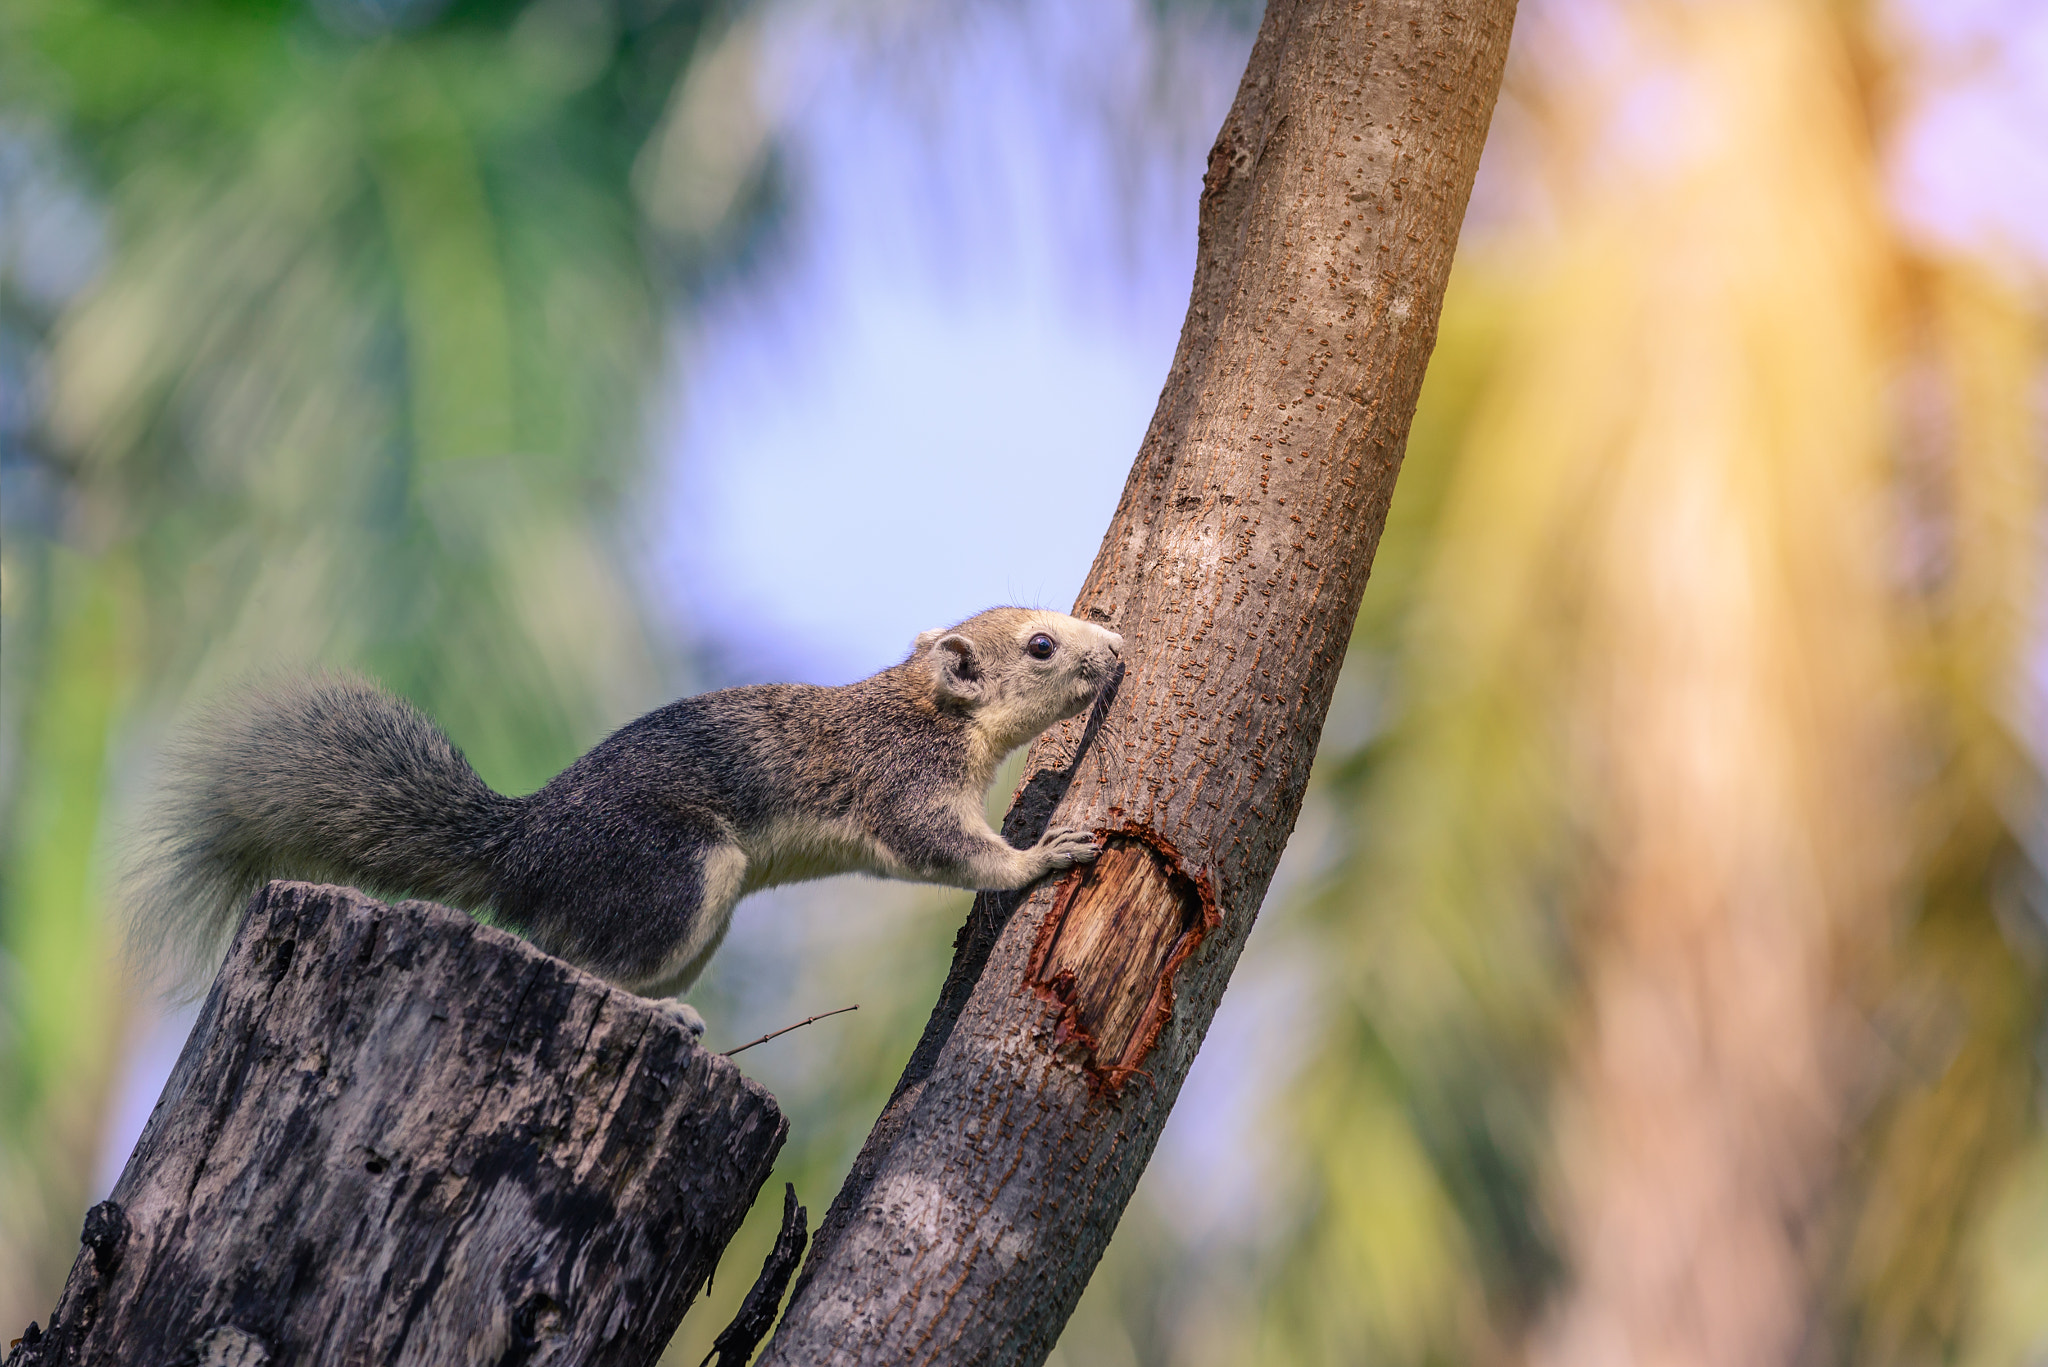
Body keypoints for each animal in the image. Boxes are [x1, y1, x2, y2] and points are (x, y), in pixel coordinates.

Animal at [126, 607, 1123, 1028]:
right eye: (1040, 645)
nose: (1116, 646)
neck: (930, 708)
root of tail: (522, 848)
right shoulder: (904, 782)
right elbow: (952, 849)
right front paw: (1044, 854)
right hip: (675, 873)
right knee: (573, 958)